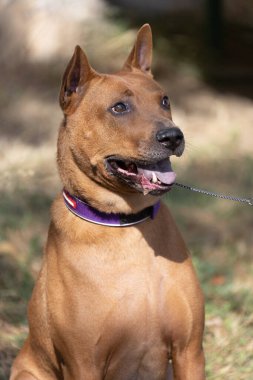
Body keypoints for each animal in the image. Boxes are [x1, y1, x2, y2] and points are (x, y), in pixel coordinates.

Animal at [10, 24, 206, 380]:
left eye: (165, 100)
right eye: (119, 108)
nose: (173, 136)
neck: (126, 226)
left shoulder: (189, 352)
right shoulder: (83, 364)